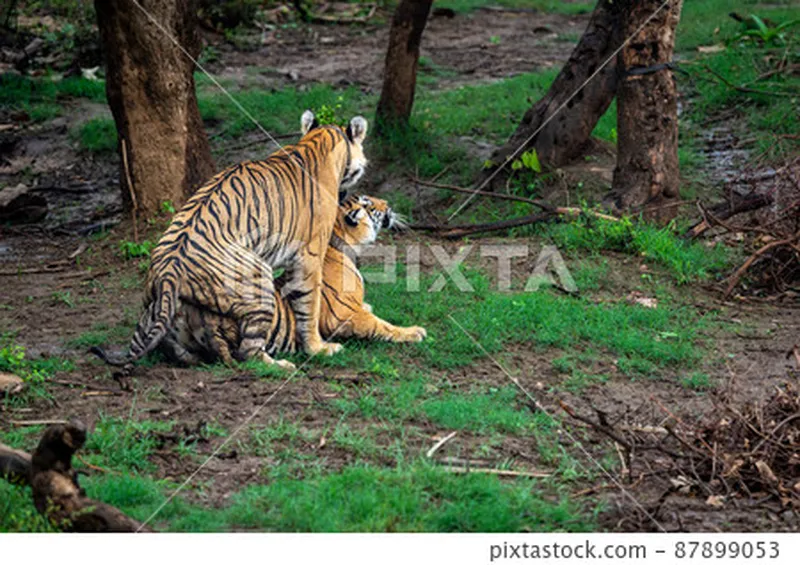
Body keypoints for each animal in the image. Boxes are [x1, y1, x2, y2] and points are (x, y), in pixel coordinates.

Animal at [91, 109, 368, 370]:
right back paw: (281, 365)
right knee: (248, 352)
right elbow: (310, 303)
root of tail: (170, 269)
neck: (317, 140)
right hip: (258, 279)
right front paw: (319, 348)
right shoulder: (309, 256)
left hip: (154, 304)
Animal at [159, 196, 428, 368]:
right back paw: (286, 364)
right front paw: (414, 332)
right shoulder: (342, 315)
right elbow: (382, 325)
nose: (388, 205)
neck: (342, 245)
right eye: (369, 205)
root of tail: (199, 316)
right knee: (249, 355)